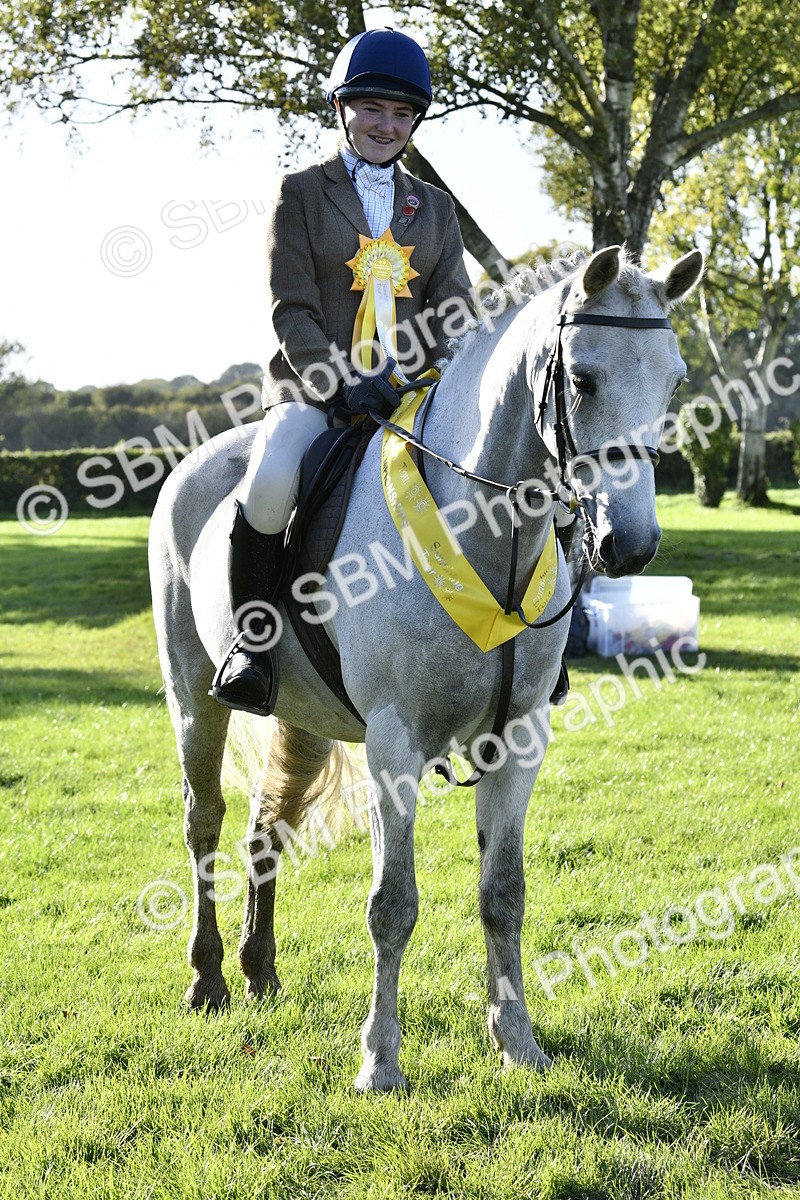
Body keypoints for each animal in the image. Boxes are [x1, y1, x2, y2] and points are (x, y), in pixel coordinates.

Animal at [148, 244, 703, 1093]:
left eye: (674, 380)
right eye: (583, 379)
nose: (631, 544)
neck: (490, 539)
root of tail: (195, 465)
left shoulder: (519, 740)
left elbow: (503, 893)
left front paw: (518, 1042)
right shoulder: (394, 743)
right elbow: (392, 904)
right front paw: (380, 1060)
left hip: (303, 717)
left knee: (265, 826)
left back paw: (259, 971)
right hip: (194, 699)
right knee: (203, 821)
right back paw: (207, 977)